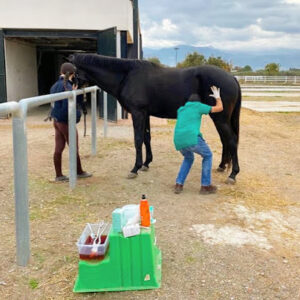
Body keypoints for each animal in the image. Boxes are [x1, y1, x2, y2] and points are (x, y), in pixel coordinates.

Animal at [71, 53, 241, 183]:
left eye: (72, 73)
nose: (74, 91)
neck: (126, 76)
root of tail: (231, 77)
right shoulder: (145, 114)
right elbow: (147, 138)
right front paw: (146, 164)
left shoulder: (137, 113)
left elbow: (138, 139)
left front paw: (135, 168)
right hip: (220, 118)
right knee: (225, 140)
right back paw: (222, 166)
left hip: (220, 118)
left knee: (231, 140)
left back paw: (233, 174)